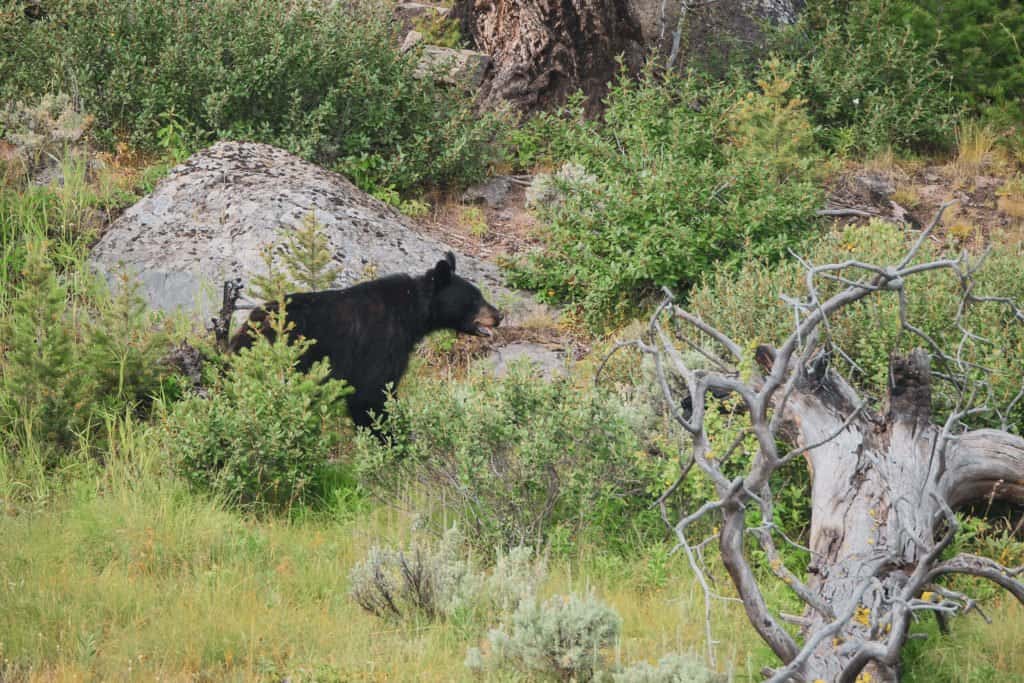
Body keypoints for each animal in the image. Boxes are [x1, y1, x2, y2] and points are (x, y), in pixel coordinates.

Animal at [230, 253, 505, 428]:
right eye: (475, 299)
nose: (499, 315)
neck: (411, 313)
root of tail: (246, 326)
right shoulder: (382, 342)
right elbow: (371, 392)